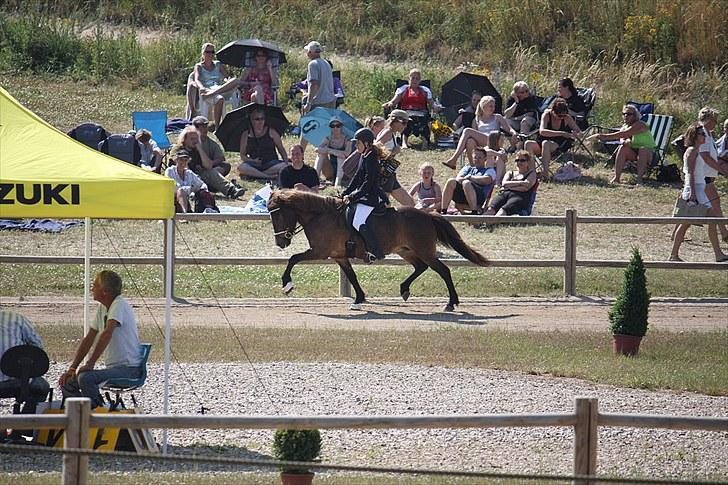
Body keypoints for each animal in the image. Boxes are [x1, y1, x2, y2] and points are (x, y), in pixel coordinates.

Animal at [268, 189, 490, 310]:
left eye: (277, 214)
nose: (280, 243)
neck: (321, 216)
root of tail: (428, 215)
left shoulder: (319, 252)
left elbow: (293, 258)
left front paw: (287, 285)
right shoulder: (339, 256)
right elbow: (352, 276)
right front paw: (359, 299)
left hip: (424, 251)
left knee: (443, 270)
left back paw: (451, 302)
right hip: (405, 250)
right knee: (420, 267)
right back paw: (404, 289)